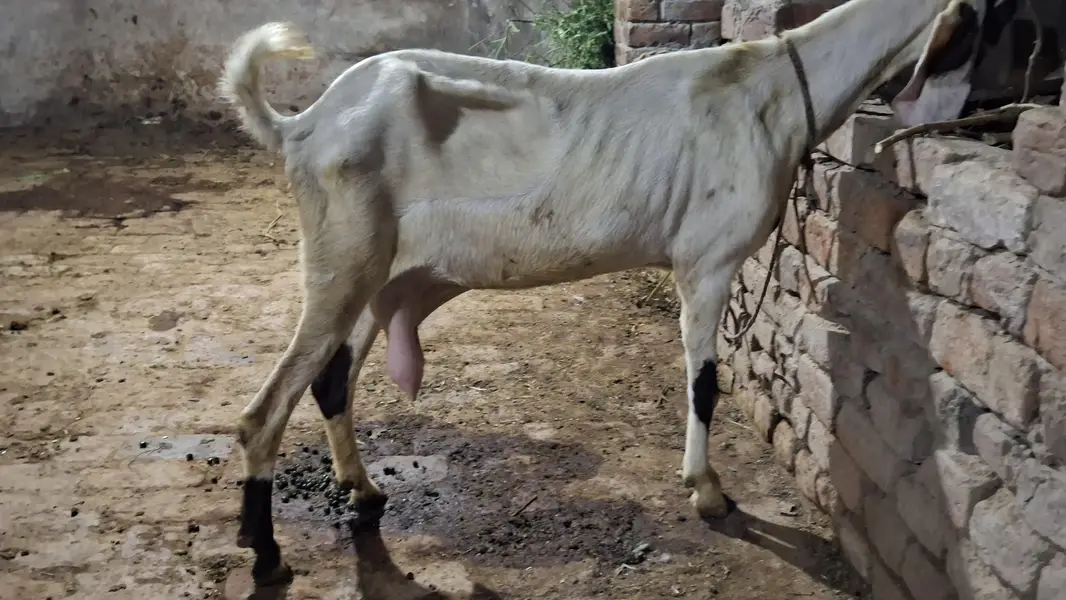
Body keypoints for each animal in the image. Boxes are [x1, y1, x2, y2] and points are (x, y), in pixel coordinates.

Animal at [220, 0, 993, 585]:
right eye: (982, 29)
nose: (972, 122)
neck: (770, 91)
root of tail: (302, 123)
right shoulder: (707, 261)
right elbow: (704, 382)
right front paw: (707, 491)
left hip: (376, 273)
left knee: (331, 381)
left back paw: (364, 489)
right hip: (341, 260)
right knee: (266, 410)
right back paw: (265, 552)